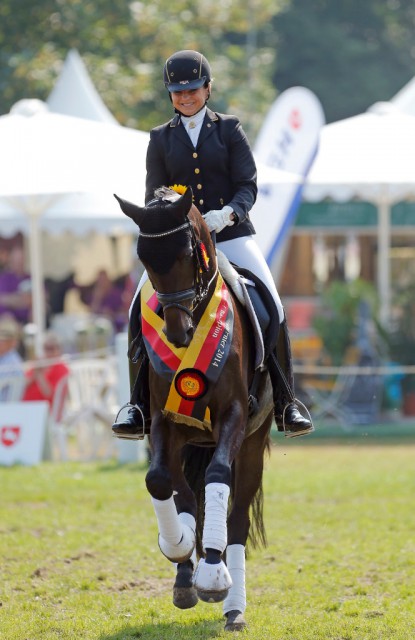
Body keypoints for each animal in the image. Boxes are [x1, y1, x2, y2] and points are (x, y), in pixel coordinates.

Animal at [115, 185, 274, 632]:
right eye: (144, 258)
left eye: (188, 253)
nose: (177, 333)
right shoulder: (164, 423)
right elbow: (162, 483)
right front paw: (180, 547)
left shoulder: (234, 417)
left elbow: (216, 478)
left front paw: (213, 573)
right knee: (182, 491)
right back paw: (186, 573)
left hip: (252, 444)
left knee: (237, 519)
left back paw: (233, 607)